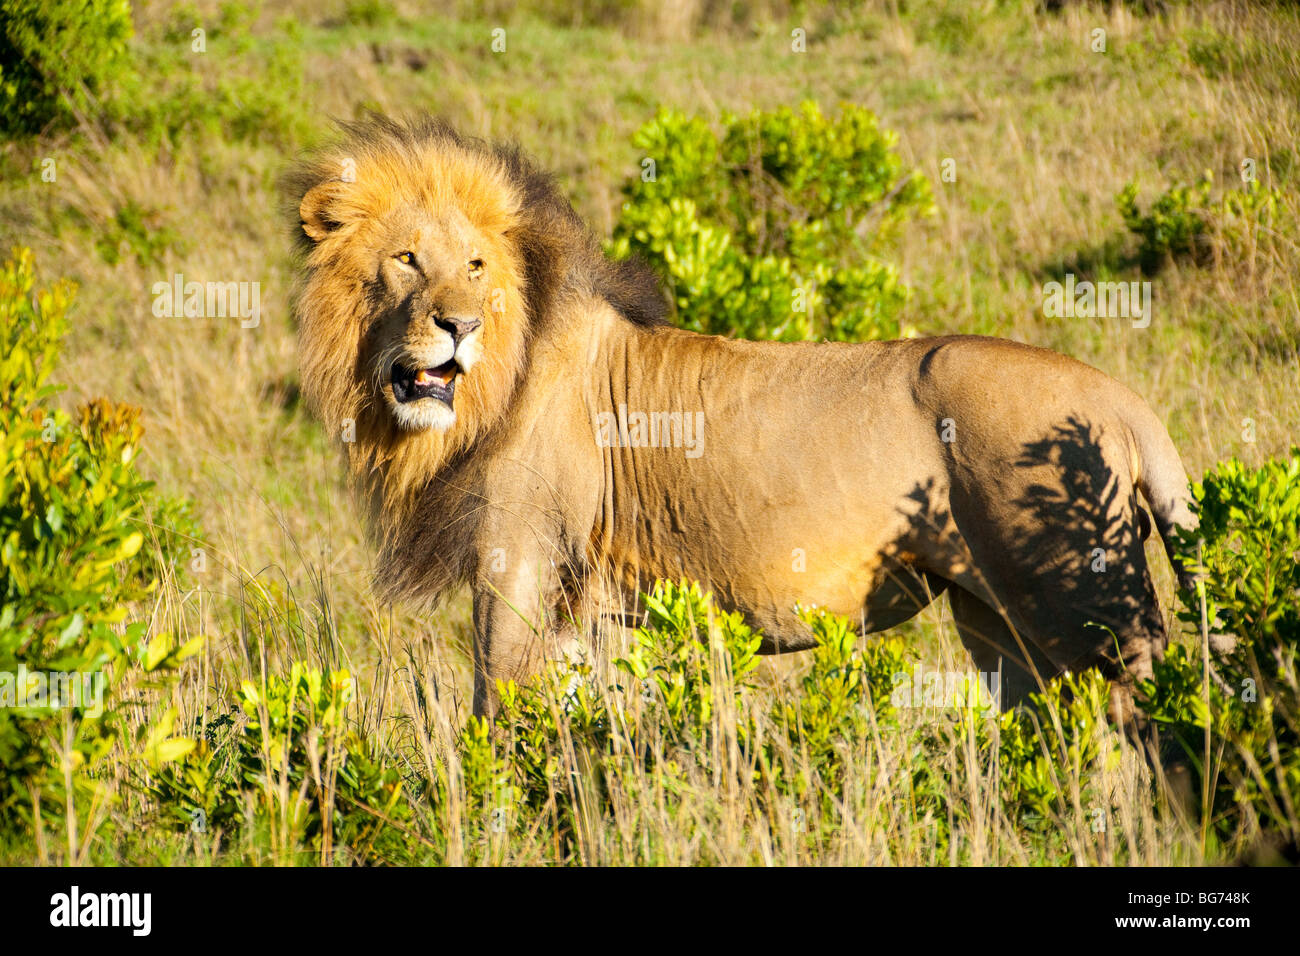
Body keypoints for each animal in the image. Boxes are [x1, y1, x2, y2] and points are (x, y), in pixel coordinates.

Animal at [289, 115, 1198, 723]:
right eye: (407, 259)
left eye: (477, 266)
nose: (460, 324)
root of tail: (1122, 400)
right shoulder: (600, 611)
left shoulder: (518, 567)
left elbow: (495, 719)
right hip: (999, 623)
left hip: (1087, 605)